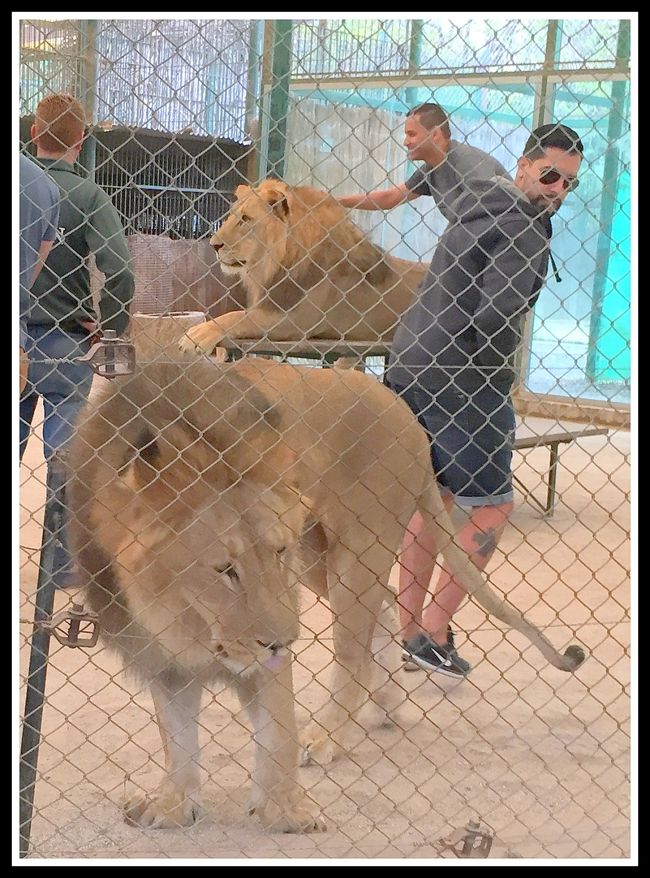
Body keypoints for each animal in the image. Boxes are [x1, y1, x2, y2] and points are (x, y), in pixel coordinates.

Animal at [175, 177, 426, 356]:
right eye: (231, 216)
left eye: (245, 219)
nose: (214, 245)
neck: (273, 264)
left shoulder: (296, 321)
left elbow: (238, 316)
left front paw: (197, 334)